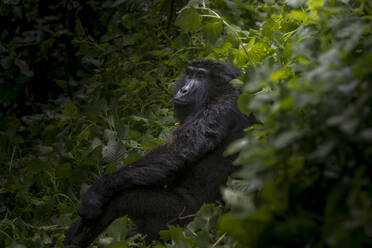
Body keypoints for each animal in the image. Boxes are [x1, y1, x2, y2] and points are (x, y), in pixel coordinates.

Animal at [64, 59, 256, 246]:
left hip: (187, 222)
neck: (224, 88)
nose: (183, 89)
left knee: (124, 199)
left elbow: (173, 153)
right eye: (189, 74)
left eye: (201, 76)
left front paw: (96, 192)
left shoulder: (218, 107)